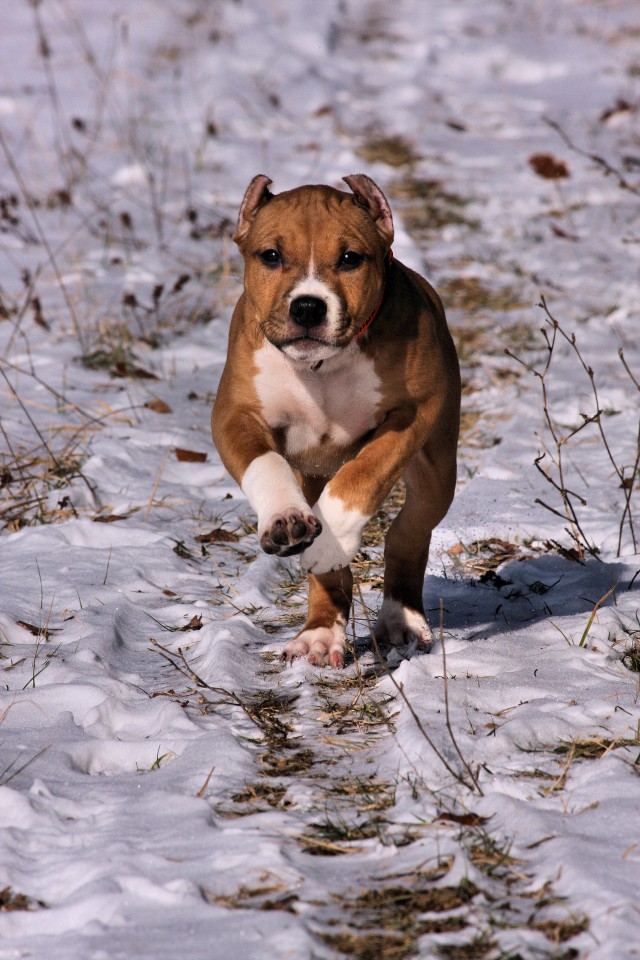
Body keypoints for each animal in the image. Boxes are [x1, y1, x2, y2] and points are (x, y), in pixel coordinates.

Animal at [211, 174, 460, 668]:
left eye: (350, 259)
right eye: (271, 255)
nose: (308, 307)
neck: (322, 369)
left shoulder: (414, 413)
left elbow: (363, 474)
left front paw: (330, 540)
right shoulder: (235, 415)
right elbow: (265, 464)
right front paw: (284, 520)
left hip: (437, 464)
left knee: (410, 528)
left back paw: (400, 619)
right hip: (311, 475)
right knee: (332, 570)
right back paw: (319, 634)